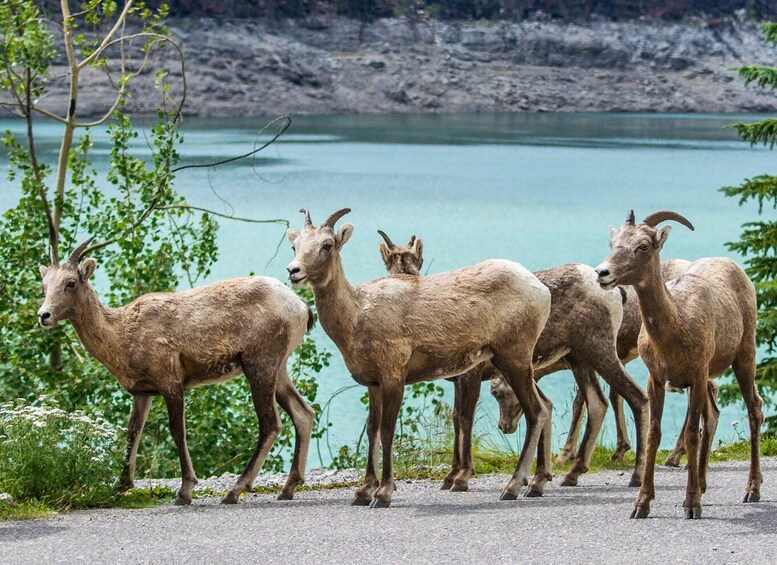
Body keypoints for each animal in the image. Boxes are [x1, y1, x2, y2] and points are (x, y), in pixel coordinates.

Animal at [36, 237, 316, 502]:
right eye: (44, 285)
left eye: (71, 283)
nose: (44, 315)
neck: (121, 338)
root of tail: (302, 308)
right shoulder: (142, 392)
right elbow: (132, 432)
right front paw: (120, 487)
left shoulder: (170, 378)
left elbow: (177, 430)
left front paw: (185, 491)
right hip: (279, 367)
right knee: (303, 412)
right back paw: (287, 488)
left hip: (259, 362)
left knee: (271, 423)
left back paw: (235, 491)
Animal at [286, 208, 552, 506]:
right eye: (295, 246)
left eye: (327, 245)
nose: (294, 271)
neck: (357, 316)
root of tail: (542, 291)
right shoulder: (373, 383)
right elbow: (372, 431)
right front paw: (363, 493)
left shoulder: (394, 375)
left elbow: (388, 431)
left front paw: (383, 494)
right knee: (544, 407)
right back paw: (535, 485)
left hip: (514, 356)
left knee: (536, 412)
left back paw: (512, 487)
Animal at [378, 229, 648, 490]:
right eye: (389, 264)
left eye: (418, 261)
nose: (504, 427)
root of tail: (613, 292)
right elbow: (456, 419)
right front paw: (452, 476)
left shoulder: (470, 374)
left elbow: (464, 419)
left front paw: (460, 478)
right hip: (579, 360)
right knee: (597, 403)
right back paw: (570, 475)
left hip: (600, 352)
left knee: (635, 398)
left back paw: (635, 476)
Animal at [596, 209, 760, 516]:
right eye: (613, 243)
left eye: (643, 246)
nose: (602, 273)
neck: (679, 325)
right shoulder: (657, 381)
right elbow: (655, 434)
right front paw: (642, 505)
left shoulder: (695, 376)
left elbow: (692, 434)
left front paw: (692, 505)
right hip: (709, 379)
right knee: (713, 415)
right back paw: (705, 485)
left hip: (744, 358)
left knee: (754, 411)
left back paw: (752, 491)